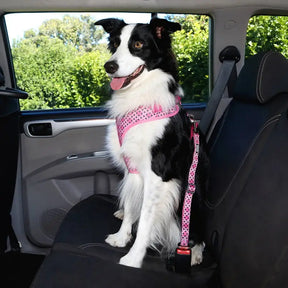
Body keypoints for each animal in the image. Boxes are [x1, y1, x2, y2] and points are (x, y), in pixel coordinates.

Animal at [95, 17, 208, 270]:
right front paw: (121, 237)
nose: (109, 66)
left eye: (138, 45)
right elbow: (131, 206)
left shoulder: (157, 176)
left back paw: (194, 252)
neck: (138, 97)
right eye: (115, 44)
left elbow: (147, 219)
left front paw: (133, 258)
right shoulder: (133, 170)